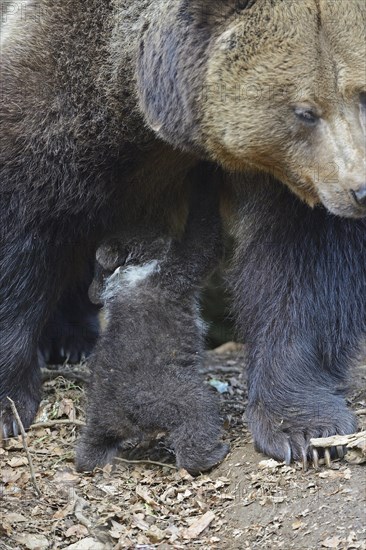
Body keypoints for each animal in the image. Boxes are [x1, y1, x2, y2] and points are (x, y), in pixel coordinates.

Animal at [0, 1, 364, 466]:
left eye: (363, 94)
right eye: (305, 111)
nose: (360, 190)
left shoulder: (297, 187)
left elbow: (303, 270)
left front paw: (305, 429)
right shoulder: (62, 85)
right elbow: (22, 215)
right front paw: (9, 405)